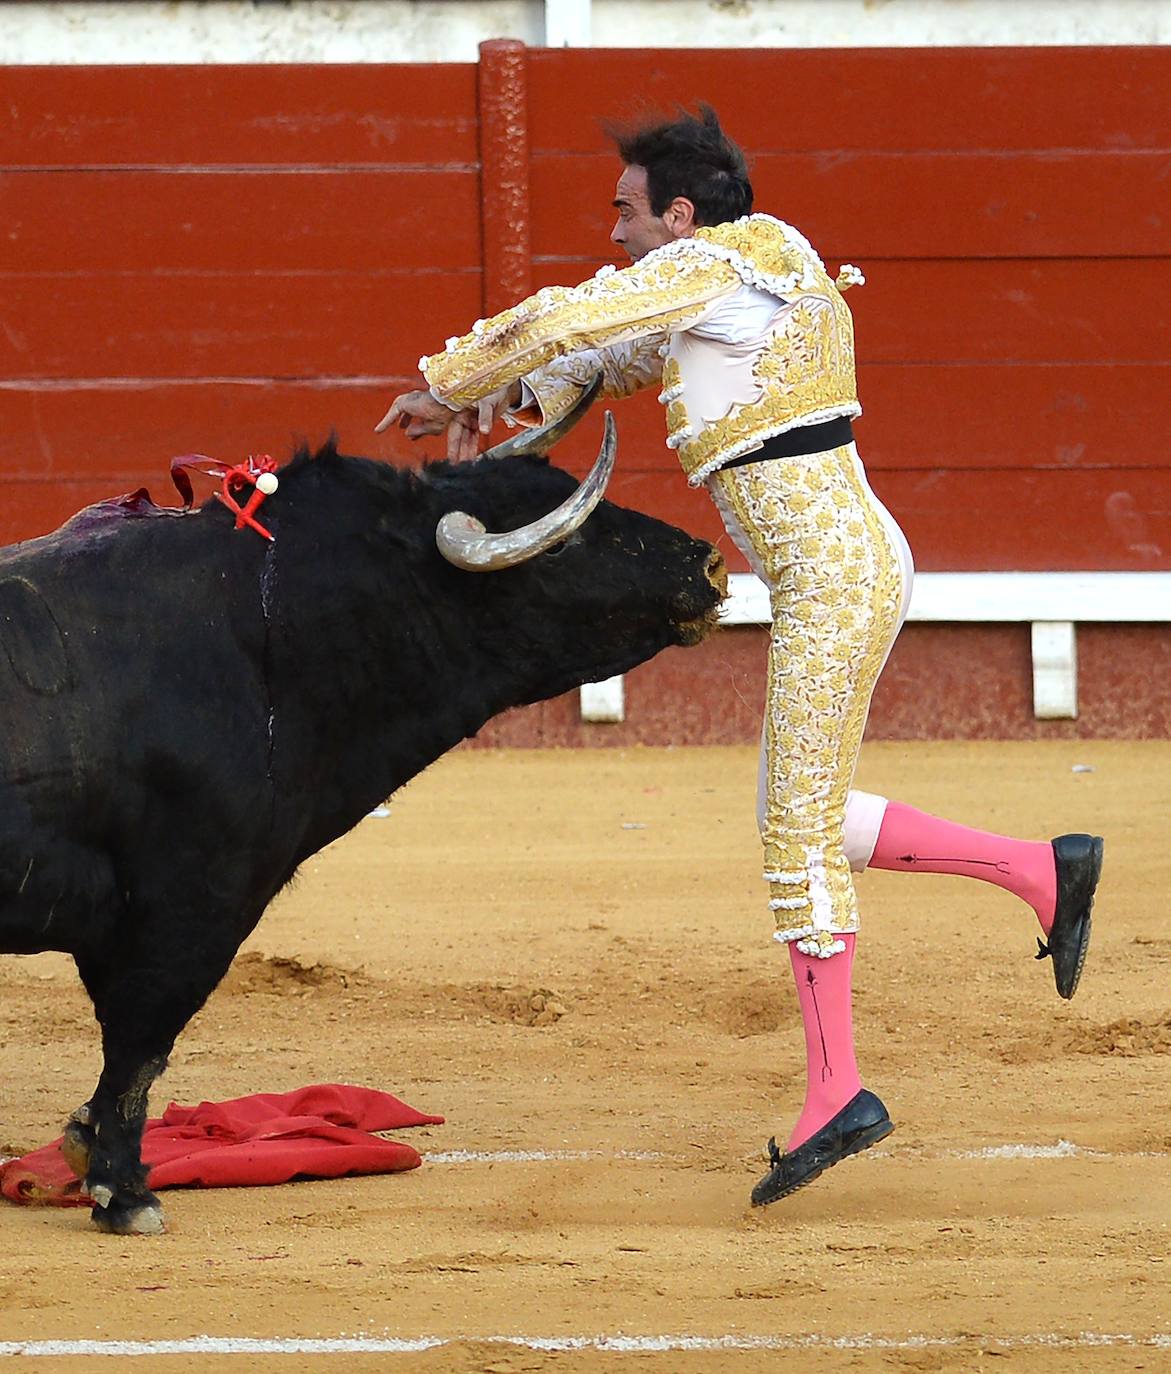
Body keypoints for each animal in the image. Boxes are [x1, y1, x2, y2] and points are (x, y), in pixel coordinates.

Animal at [0, 434, 725, 1231]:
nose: (707, 563)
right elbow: (140, 1040)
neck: (273, 628)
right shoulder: (192, 898)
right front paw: (124, 1190)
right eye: (562, 545)